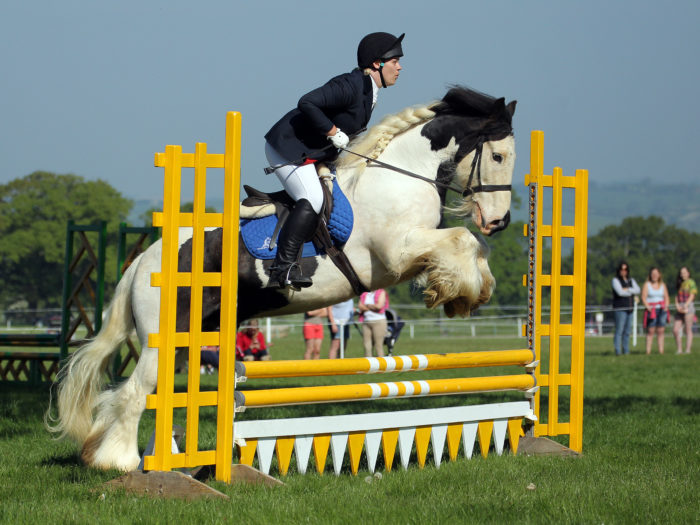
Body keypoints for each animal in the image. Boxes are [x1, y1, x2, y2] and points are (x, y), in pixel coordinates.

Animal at [47, 86, 517, 472]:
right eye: (497, 157)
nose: (500, 221)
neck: (399, 174)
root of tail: (145, 262)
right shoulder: (396, 253)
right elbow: (462, 239)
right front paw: (455, 290)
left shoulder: (409, 252)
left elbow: (474, 245)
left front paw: (467, 291)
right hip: (165, 337)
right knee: (134, 392)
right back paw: (119, 463)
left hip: (190, 339)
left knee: (134, 393)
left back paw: (113, 452)